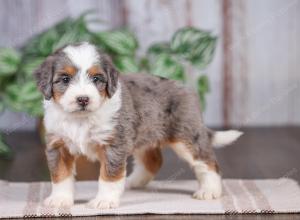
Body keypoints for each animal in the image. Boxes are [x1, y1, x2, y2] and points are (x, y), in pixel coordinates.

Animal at [34, 41, 243, 210]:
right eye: (65, 79)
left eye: (96, 79)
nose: (83, 99)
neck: (81, 119)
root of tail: (185, 88)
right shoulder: (57, 144)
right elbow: (60, 175)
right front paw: (60, 199)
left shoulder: (114, 145)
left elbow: (109, 176)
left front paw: (104, 201)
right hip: (144, 136)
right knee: (153, 161)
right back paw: (133, 181)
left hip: (187, 136)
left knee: (207, 162)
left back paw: (210, 190)